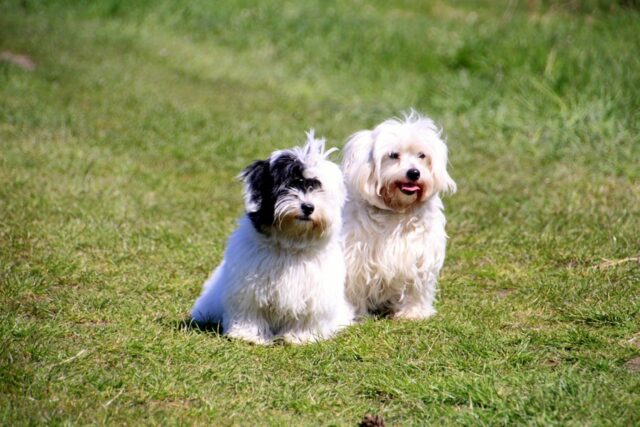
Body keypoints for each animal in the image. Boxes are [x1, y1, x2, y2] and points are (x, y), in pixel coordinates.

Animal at [192, 130, 358, 344]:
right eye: (288, 186)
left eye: (317, 188)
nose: (308, 207)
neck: (290, 243)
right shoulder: (248, 287)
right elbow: (251, 310)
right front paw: (248, 334)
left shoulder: (314, 293)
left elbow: (307, 316)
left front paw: (300, 337)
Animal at [340, 112, 456, 320]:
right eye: (393, 155)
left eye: (422, 155)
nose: (414, 173)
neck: (398, 210)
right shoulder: (356, 257)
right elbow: (356, 287)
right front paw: (356, 314)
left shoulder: (420, 254)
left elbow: (416, 286)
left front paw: (414, 313)